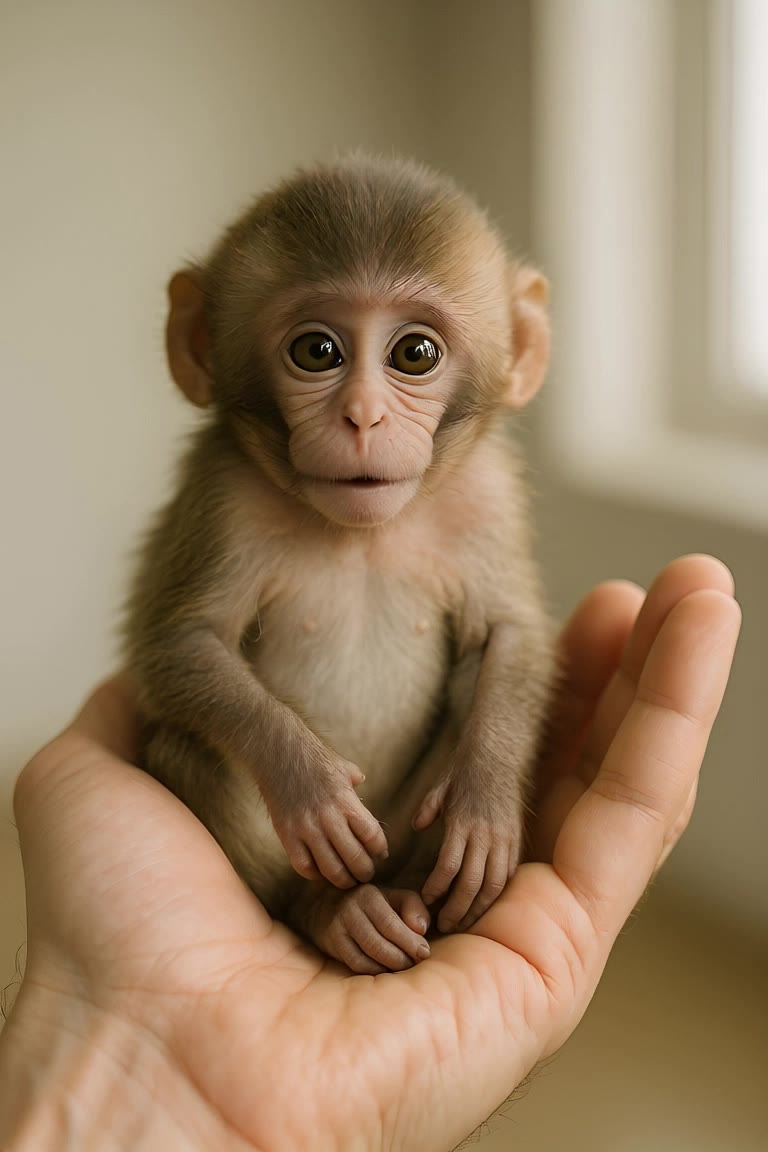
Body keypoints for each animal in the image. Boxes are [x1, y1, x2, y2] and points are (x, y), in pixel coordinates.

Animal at [123, 155, 554, 977]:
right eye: (317, 351)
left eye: (415, 353)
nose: (361, 417)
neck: (364, 535)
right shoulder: (223, 494)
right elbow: (178, 644)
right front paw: (308, 783)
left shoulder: (487, 493)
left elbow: (510, 634)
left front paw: (484, 802)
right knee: (187, 744)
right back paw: (334, 912)